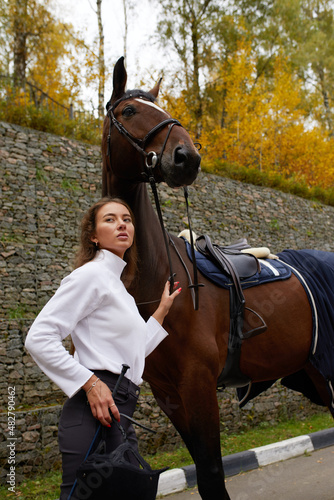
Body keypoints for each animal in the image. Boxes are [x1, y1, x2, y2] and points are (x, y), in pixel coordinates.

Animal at [102, 56, 334, 498]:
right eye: (129, 111)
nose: (186, 156)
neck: (159, 280)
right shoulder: (170, 394)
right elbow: (205, 471)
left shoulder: (198, 385)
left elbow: (212, 472)